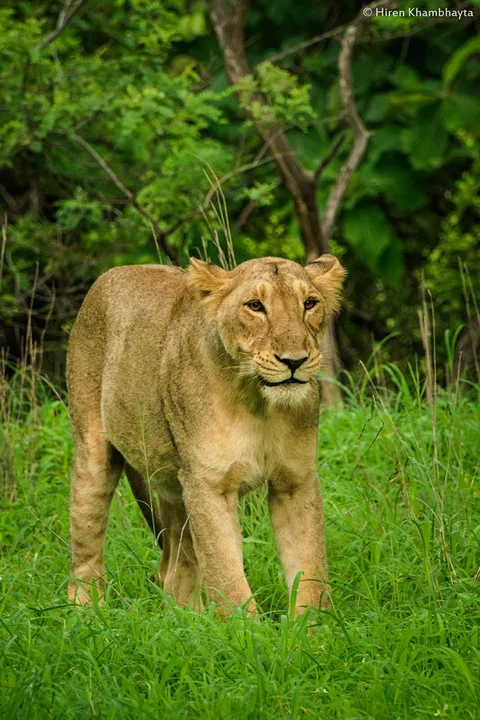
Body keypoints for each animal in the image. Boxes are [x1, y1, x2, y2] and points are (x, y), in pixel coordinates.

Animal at [67, 254, 345, 616]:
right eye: (255, 306)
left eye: (309, 303)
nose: (294, 361)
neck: (258, 404)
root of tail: (112, 273)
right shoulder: (208, 484)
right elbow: (225, 572)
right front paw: (245, 628)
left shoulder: (295, 481)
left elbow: (311, 569)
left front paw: (315, 627)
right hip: (94, 456)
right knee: (86, 547)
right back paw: (87, 613)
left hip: (172, 483)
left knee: (174, 565)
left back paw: (187, 616)